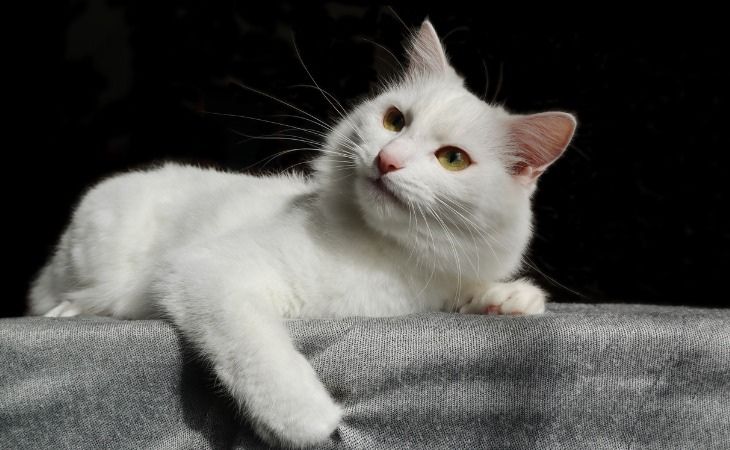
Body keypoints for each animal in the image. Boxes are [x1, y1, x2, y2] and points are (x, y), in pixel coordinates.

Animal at [27, 20, 576, 446]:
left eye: (453, 159)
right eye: (394, 119)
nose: (387, 159)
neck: (381, 253)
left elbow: (469, 291)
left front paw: (510, 298)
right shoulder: (204, 272)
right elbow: (254, 344)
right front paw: (306, 420)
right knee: (54, 297)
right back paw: (70, 310)